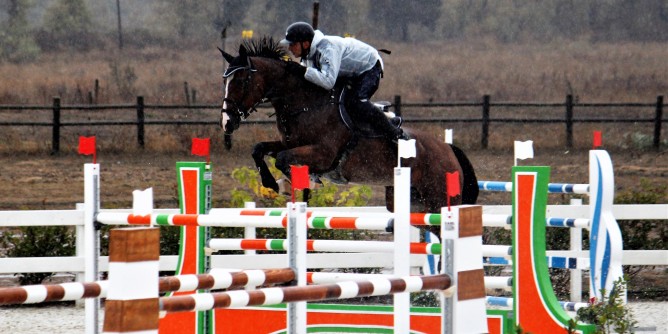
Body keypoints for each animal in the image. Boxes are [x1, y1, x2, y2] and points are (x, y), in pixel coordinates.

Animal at [218, 38, 474, 217]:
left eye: (241, 81)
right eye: (225, 81)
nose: (227, 122)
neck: (306, 103)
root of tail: (449, 149)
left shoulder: (323, 153)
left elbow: (282, 159)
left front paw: (302, 182)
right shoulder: (291, 143)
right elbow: (259, 149)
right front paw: (275, 184)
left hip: (437, 199)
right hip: (413, 201)